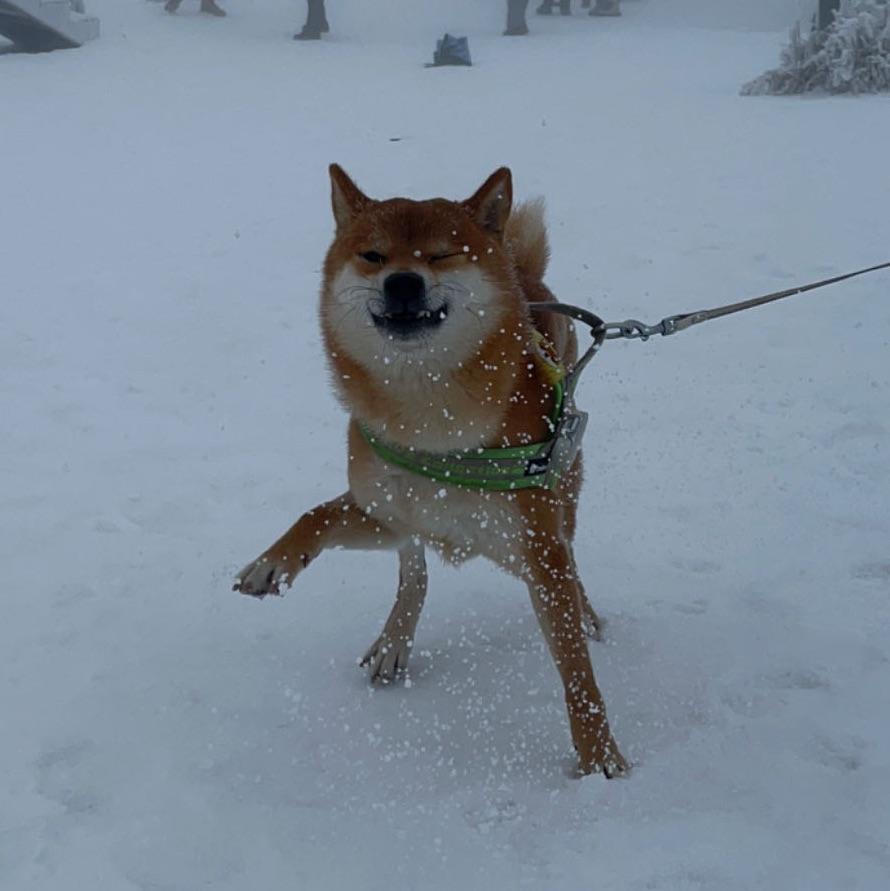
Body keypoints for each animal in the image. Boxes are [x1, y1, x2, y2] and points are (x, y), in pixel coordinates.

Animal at [232, 164, 628, 776]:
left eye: (442, 254)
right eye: (372, 255)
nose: (402, 283)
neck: (433, 423)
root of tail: (523, 273)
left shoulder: (538, 551)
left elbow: (576, 671)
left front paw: (600, 756)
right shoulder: (382, 508)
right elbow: (319, 516)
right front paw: (272, 563)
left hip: (564, 487)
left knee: (570, 556)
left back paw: (587, 613)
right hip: (409, 519)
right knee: (413, 567)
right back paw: (395, 639)